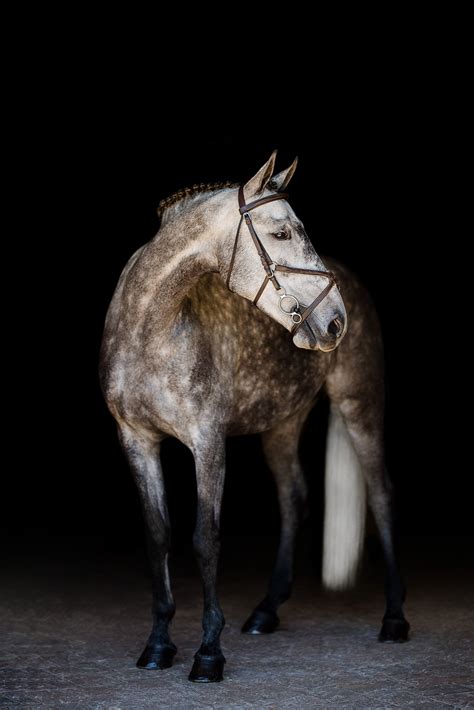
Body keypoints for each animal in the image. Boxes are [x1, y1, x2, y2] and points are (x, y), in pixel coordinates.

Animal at [99, 153, 408, 688]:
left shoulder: (207, 442)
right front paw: (158, 645)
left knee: (382, 496)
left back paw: (393, 619)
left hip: (360, 404)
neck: (153, 329)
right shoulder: (136, 440)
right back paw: (266, 611)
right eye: (282, 232)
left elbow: (205, 539)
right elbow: (158, 536)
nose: (335, 321)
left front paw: (208, 653)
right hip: (282, 424)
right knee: (295, 498)